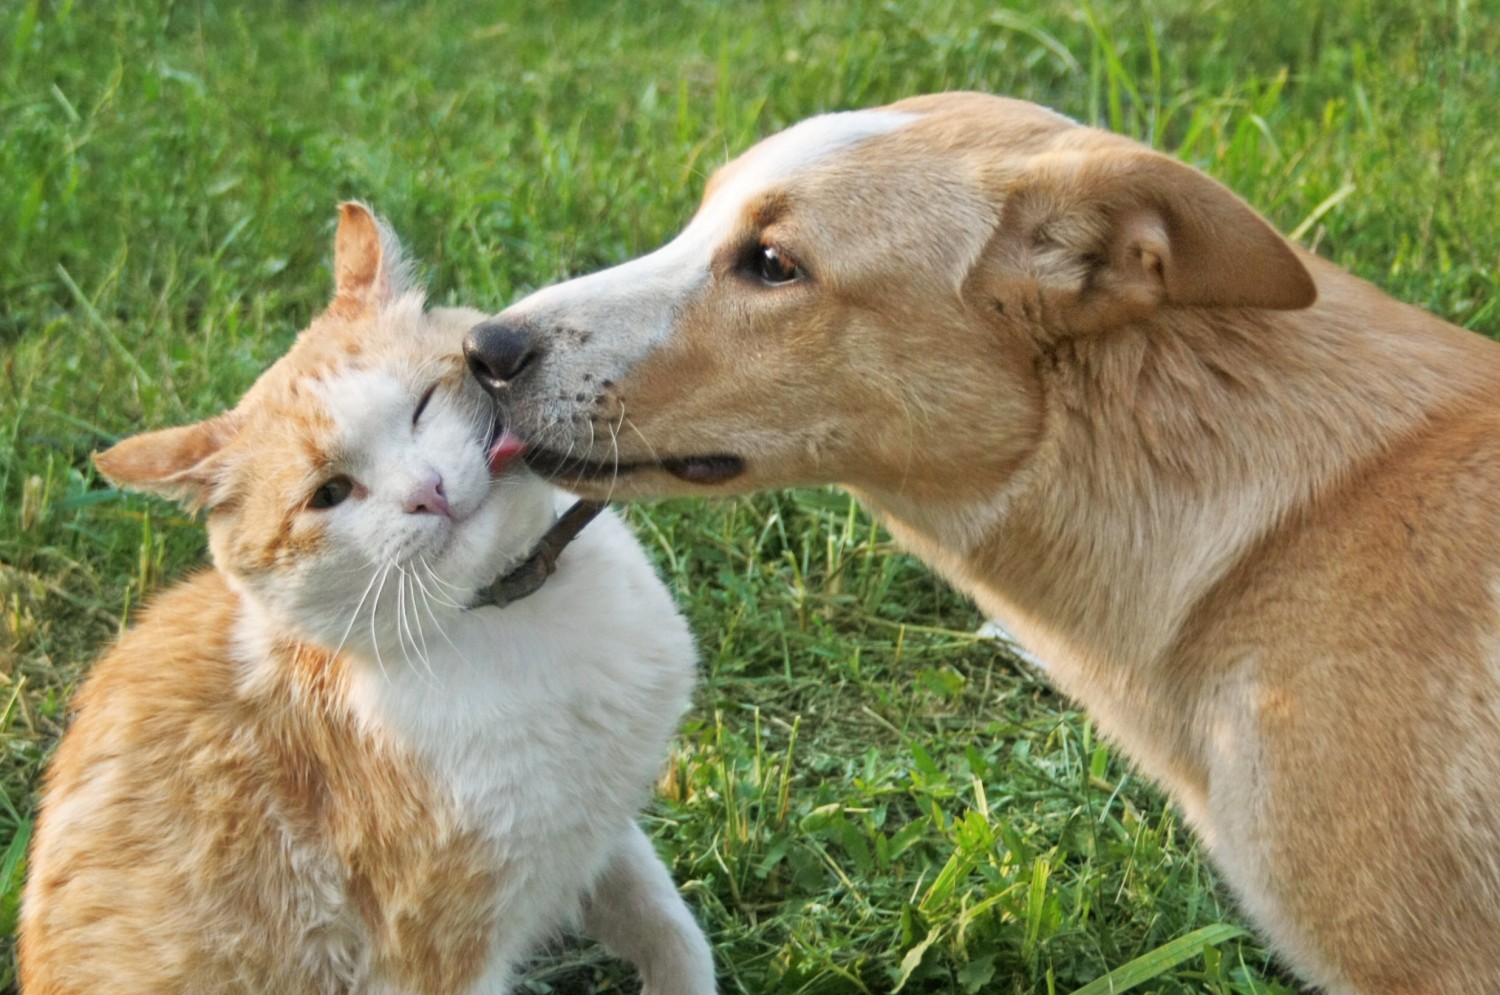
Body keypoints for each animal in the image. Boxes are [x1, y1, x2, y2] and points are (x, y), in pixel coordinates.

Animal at [19, 204, 714, 995]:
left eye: (421, 405)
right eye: (329, 493)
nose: (426, 491)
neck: (516, 611)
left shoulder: (598, 829)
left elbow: (671, 929)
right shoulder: (437, 956)